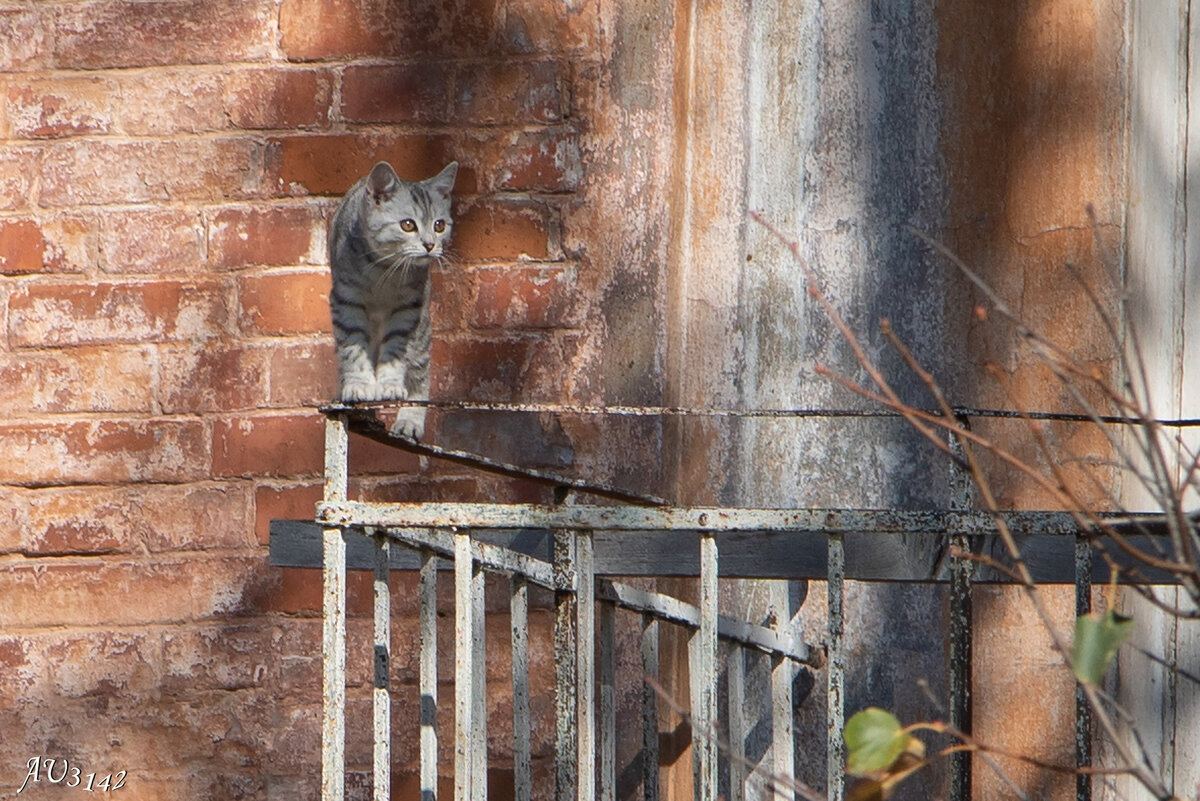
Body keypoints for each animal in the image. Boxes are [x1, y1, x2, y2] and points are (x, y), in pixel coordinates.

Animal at [328, 159, 458, 441]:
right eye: (408, 225)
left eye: (439, 225)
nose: (430, 245)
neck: (384, 270)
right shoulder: (346, 301)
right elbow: (353, 346)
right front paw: (358, 385)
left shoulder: (408, 308)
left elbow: (396, 350)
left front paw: (389, 385)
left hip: (421, 332)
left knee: (420, 373)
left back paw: (409, 420)